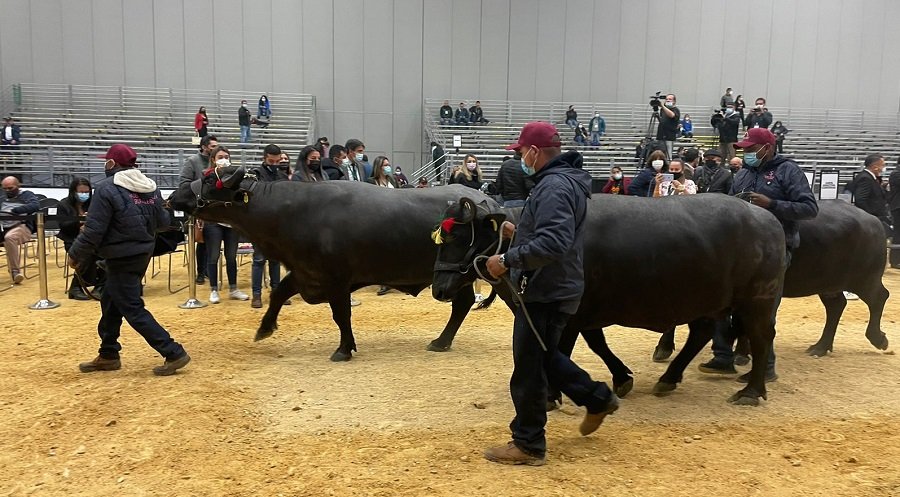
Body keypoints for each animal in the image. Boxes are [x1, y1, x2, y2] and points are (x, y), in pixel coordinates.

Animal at [169, 166, 492, 360]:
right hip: (452, 276)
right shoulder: (305, 272)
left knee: (462, 303)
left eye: (209, 181)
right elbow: (278, 293)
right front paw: (264, 328)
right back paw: (442, 340)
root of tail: (484, 200)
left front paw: (344, 349)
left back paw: (441, 340)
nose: (174, 196)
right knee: (463, 302)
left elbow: (341, 315)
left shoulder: (337, 279)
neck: (289, 213)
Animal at [430, 194, 788, 404]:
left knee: (760, 338)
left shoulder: (571, 315)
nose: (439, 288)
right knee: (701, 333)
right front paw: (621, 378)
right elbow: (597, 344)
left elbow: (565, 349)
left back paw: (751, 390)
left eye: (460, 237)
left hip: (757, 301)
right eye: (442, 238)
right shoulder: (586, 315)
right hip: (709, 301)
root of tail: (768, 220)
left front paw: (551, 393)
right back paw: (668, 379)